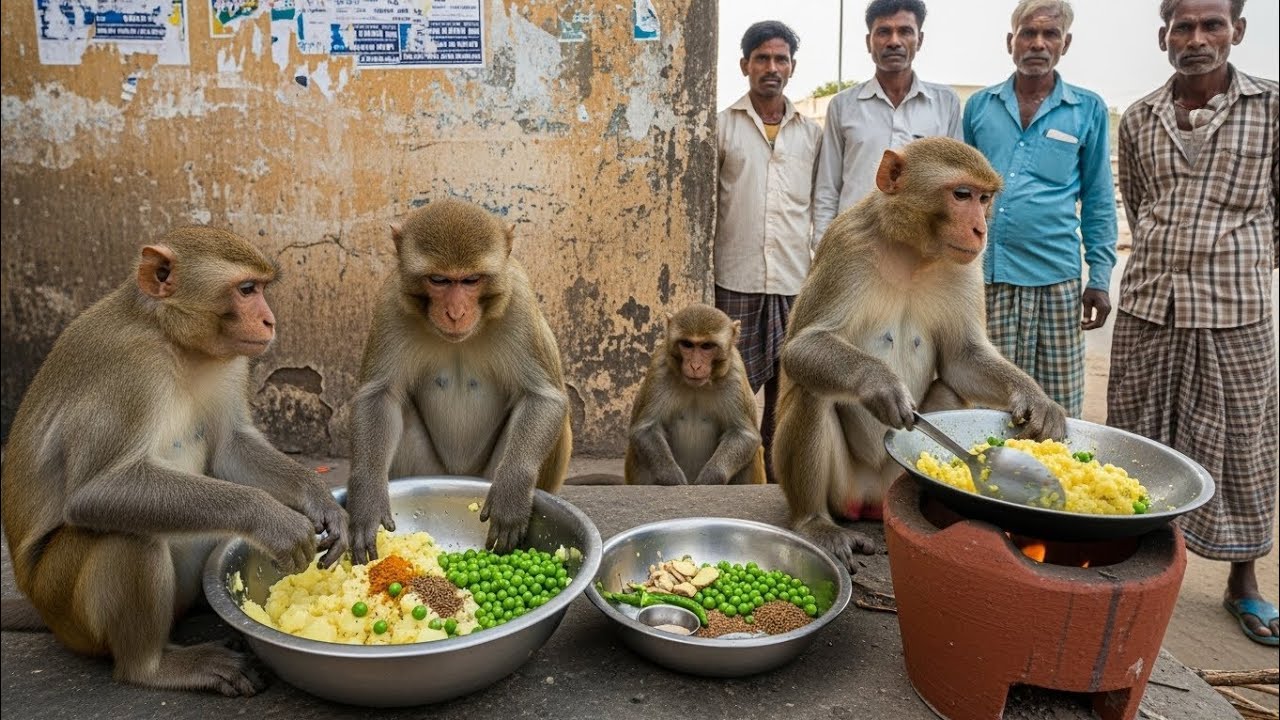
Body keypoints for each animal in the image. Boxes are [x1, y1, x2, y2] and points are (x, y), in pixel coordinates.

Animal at [0, 227, 348, 696]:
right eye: (246, 290)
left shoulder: (231, 361)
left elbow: (230, 448)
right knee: (127, 535)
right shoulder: (128, 370)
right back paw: (155, 667)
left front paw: (320, 499)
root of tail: (39, 604)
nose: (269, 321)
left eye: (260, 288)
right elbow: (95, 491)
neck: (173, 340)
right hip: (64, 604)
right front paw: (273, 520)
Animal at [346, 199, 572, 563]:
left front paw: (512, 491)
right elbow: (379, 396)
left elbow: (542, 397)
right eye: (439, 280)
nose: (455, 313)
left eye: (470, 280)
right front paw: (366, 498)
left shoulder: (519, 302)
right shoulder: (390, 302)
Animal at [624, 304, 767, 486]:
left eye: (707, 346)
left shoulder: (735, 373)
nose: (695, 366)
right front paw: (672, 478)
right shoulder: (659, 367)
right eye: (687, 344)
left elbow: (744, 433)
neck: (697, 387)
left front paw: (710, 479)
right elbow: (645, 429)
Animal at [772, 136, 1069, 569]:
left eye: (984, 198)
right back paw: (816, 523)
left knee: (950, 389)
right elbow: (802, 347)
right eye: (961, 195)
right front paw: (879, 384)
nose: (980, 229)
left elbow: (961, 359)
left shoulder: (966, 266)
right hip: (845, 488)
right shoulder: (846, 246)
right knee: (813, 391)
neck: (912, 252)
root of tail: (871, 497)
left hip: (892, 478)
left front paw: (1037, 399)